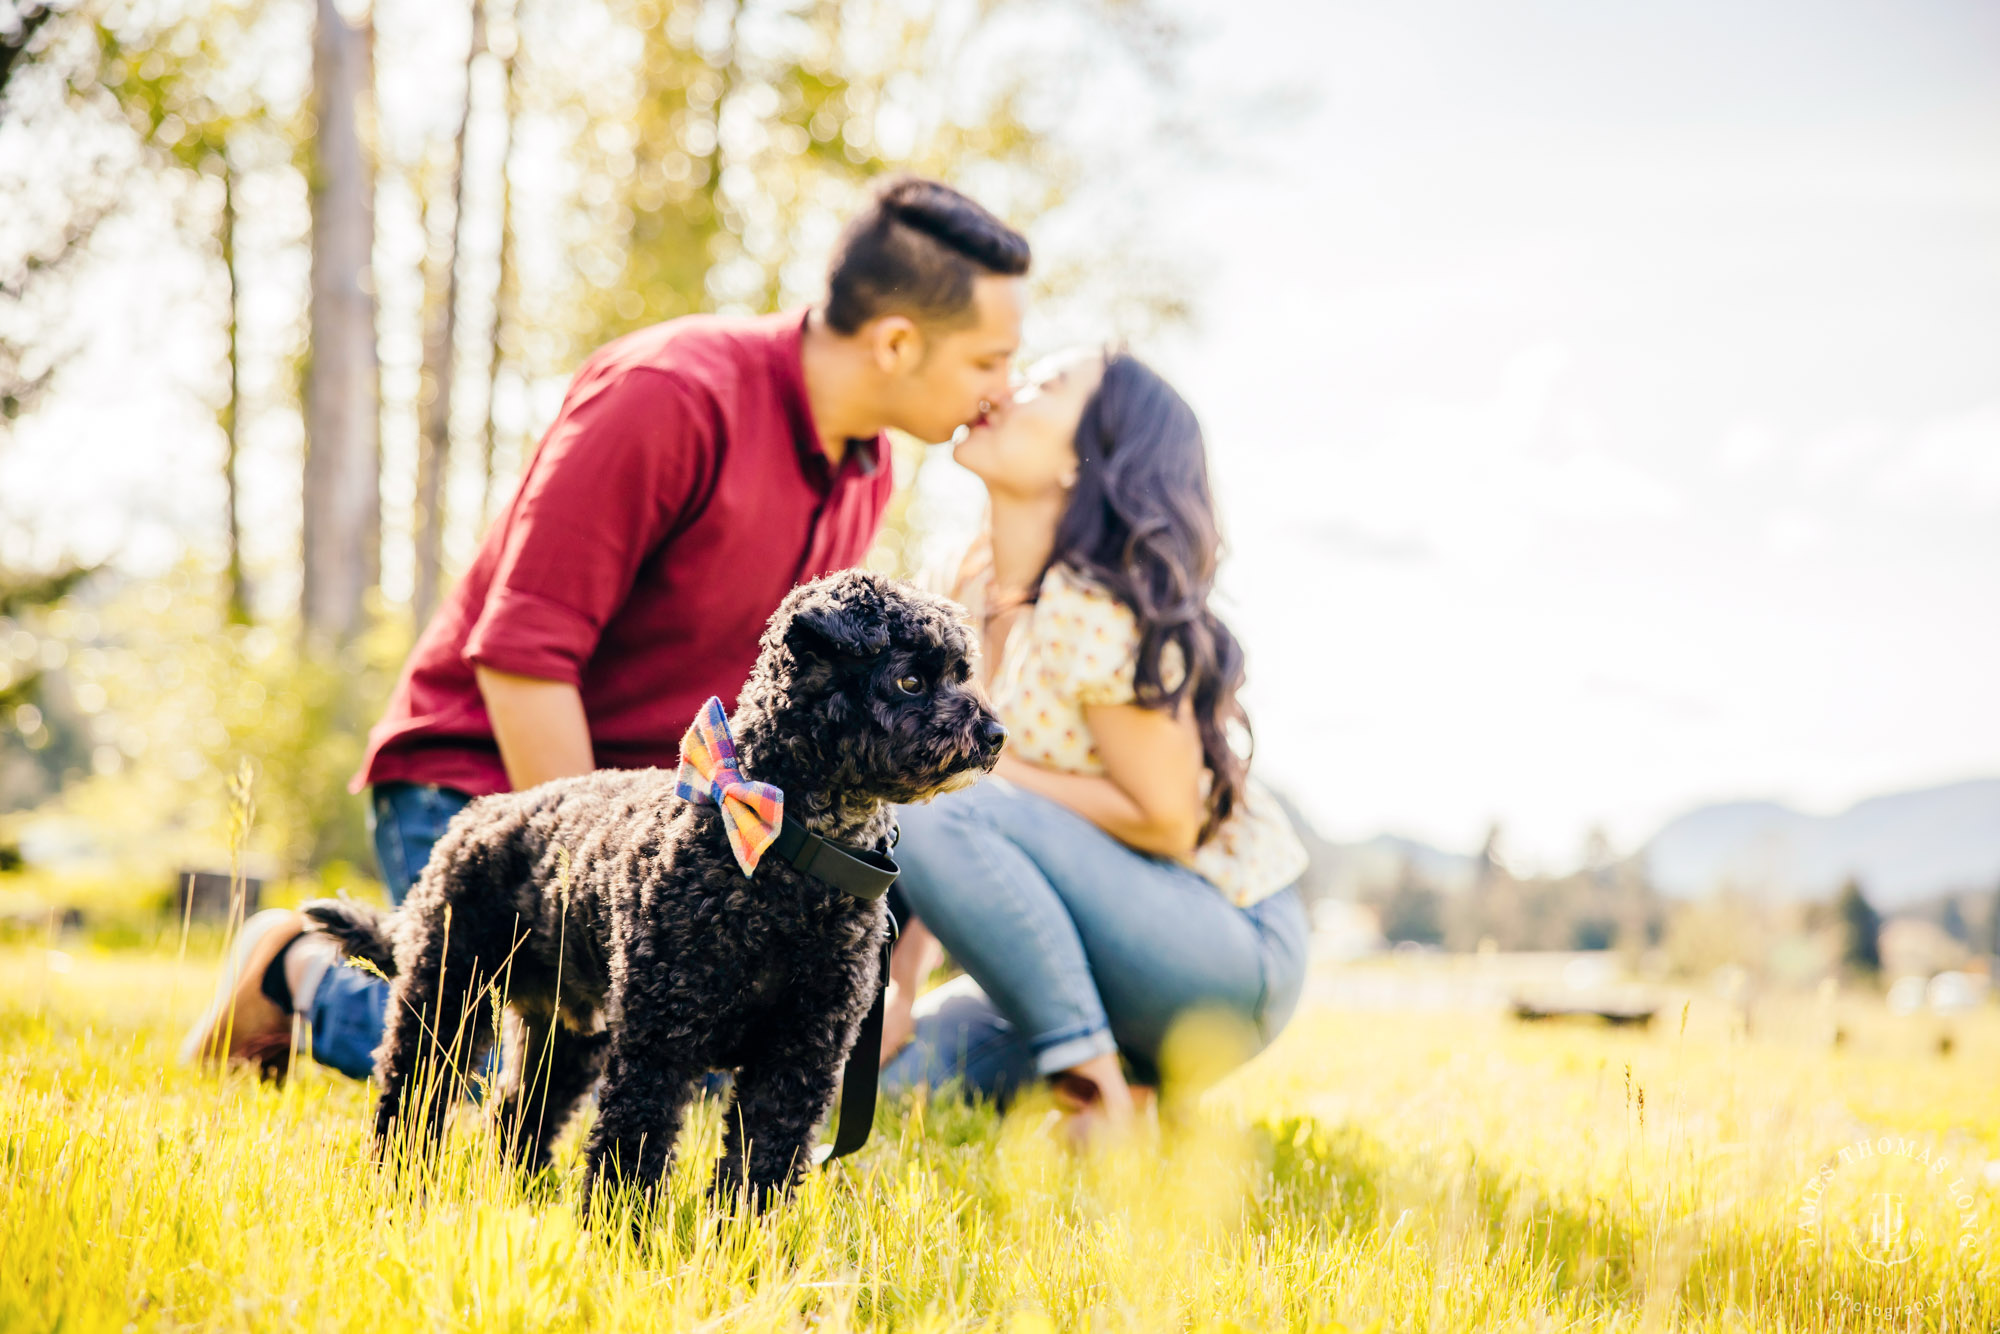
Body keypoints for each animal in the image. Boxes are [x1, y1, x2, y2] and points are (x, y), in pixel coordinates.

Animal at [304, 572, 1008, 1208]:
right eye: (911, 680)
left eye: (961, 672)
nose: (996, 736)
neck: (789, 860)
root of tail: (475, 817)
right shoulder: (658, 1042)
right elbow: (631, 1152)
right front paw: (621, 1242)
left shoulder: (798, 1059)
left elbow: (762, 1170)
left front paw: (742, 1249)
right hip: (446, 1000)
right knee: (407, 1100)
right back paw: (398, 1184)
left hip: (569, 1035)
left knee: (517, 1117)